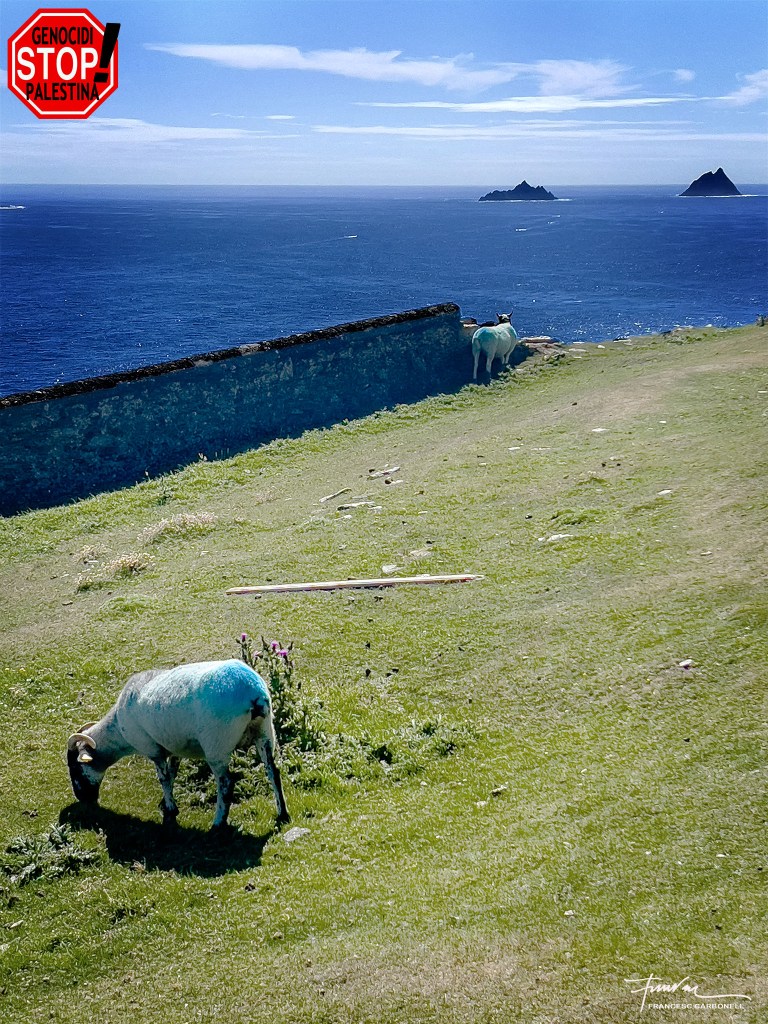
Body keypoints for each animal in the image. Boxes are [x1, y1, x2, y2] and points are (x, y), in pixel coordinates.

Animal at [67, 659, 289, 830]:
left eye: (75, 767)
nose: (82, 798)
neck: (118, 732)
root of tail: (254, 694)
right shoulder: (174, 748)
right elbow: (172, 772)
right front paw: (166, 803)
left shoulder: (153, 749)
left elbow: (163, 778)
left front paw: (171, 809)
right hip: (265, 734)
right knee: (273, 771)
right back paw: (283, 813)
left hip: (216, 746)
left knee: (226, 783)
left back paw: (218, 824)